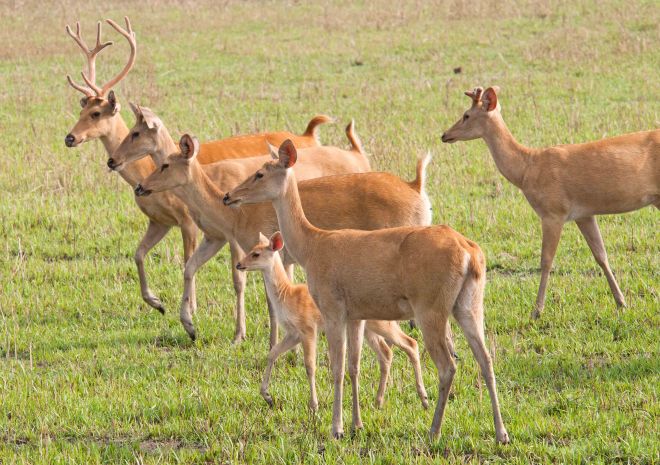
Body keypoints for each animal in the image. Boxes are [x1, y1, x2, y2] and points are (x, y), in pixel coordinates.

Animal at [64, 18, 331, 317]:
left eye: (96, 113)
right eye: (81, 111)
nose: (70, 138)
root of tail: (310, 135)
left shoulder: (190, 222)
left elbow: (193, 263)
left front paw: (191, 308)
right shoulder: (161, 221)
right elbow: (140, 254)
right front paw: (158, 303)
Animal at [132, 134, 436, 350]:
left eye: (165, 164)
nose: (140, 186)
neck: (236, 216)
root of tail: (415, 186)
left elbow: (266, 298)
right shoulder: (223, 242)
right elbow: (190, 267)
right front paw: (188, 325)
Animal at [236, 232, 428, 411]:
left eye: (256, 254)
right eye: (251, 249)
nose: (239, 264)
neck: (286, 295)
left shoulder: (308, 328)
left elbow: (310, 365)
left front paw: (314, 405)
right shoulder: (293, 333)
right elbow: (273, 353)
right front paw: (267, 396)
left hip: (381, 323)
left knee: (410, 343)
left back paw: (423, 399)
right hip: (368, 328)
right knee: (387, 353)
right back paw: (379, 401)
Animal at [441, 86, 659, 319]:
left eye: (466, 115)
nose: (444, 134)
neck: (526, 169)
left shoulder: (553, 212)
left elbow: (546, 260)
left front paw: (537, 310)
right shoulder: (584, 214)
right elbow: (601, 255)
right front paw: (621, 302)